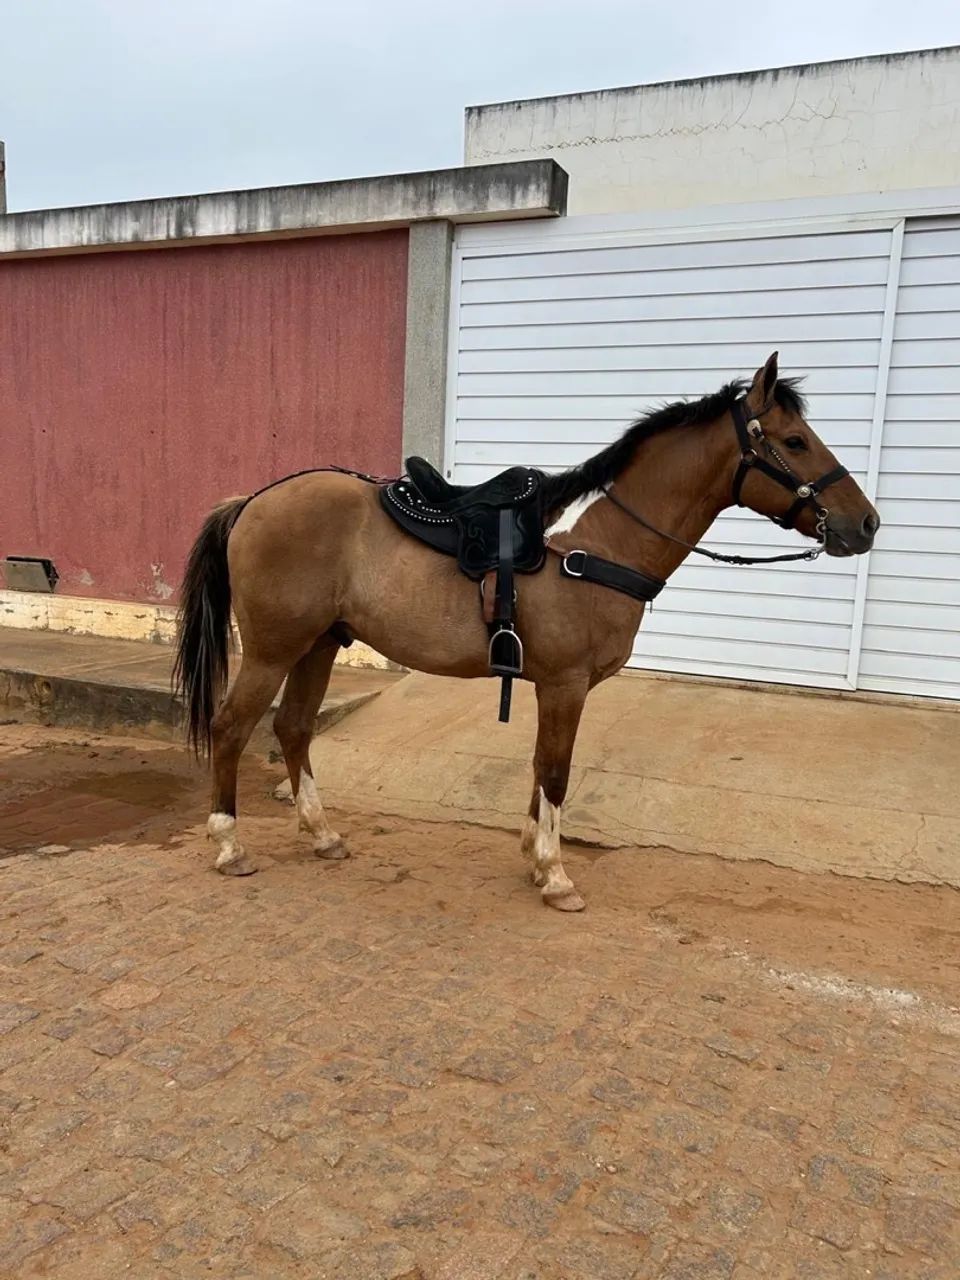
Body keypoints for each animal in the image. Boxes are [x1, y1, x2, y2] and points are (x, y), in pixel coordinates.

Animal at [173, 353, 879, 911]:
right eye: (794, 441)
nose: (866, 523)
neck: (596, 542)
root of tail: (251, 502)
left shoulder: (553, 686)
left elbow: (541, 767)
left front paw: (535, 854)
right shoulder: (566, 684)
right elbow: (557, 771)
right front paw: (556, 875)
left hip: (318, 644)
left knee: (294, 728)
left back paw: (322, 835)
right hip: (273, 649)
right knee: (232, 728)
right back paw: (229, 844)